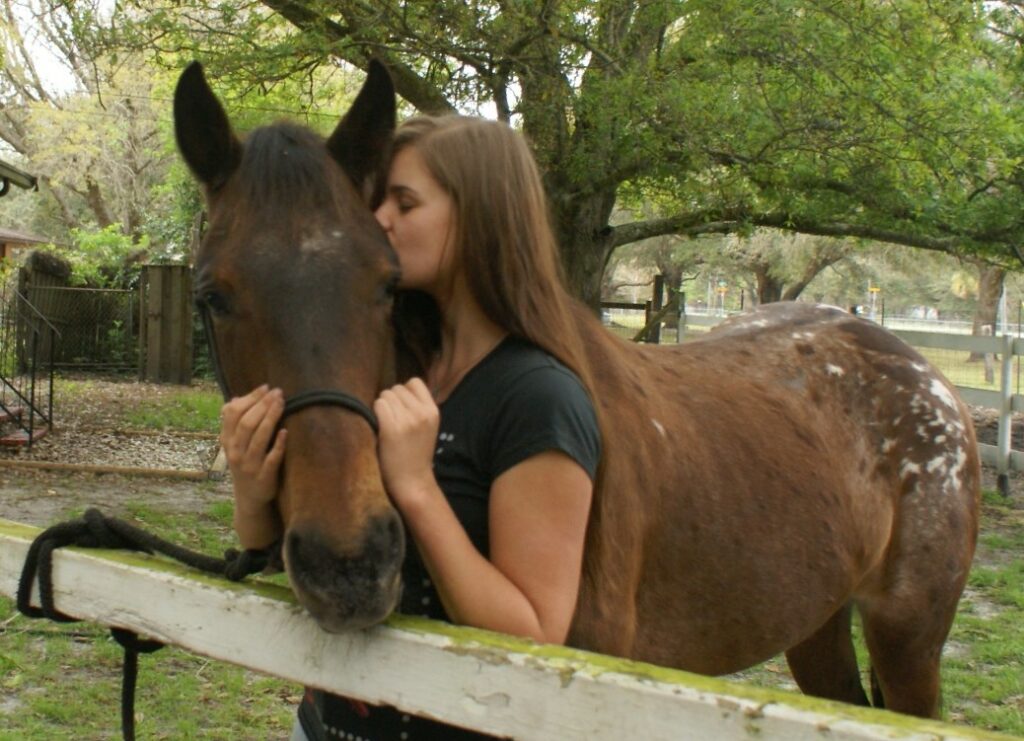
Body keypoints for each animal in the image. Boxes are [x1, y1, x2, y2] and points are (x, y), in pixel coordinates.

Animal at [174, 60, 974, 720]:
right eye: (212, 295)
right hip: (816, 622)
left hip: (908, 641)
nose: (350, 563)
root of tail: (927, 377)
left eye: (388, 282)